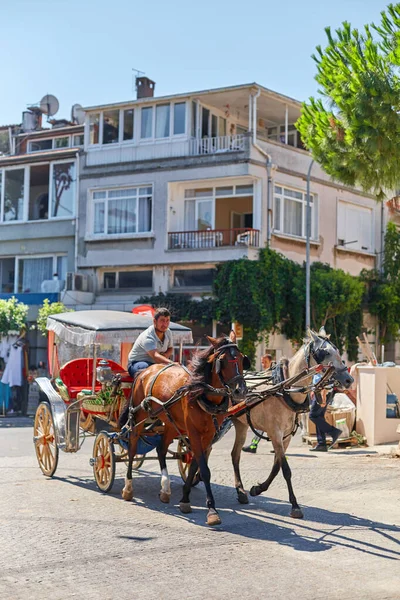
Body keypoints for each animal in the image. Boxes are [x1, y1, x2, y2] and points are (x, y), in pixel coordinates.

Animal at [120, 332, 248, 524]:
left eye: (241, 358)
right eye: (223, 360)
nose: (241, 391)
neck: (201, 393)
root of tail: (145, 371)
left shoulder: (208, 435)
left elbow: (195, 464)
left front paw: (185, 499)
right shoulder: (193, 432)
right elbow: (204, 470)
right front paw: (212, 511)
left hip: (172, 423)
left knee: (161, 448)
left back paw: (165, 488)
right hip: (139, 416)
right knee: (133, 447)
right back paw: (128, 488)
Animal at [230, 328, 352, 516]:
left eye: (338, 351)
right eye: (325, 352)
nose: (349, 379)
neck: (284, 390)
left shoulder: (285, 437)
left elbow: (277, 466)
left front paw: (258, 489)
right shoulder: (275, 433)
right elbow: (286, 469)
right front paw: (294, 505)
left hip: (241, 424)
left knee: (234, 455)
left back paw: (240, 491)